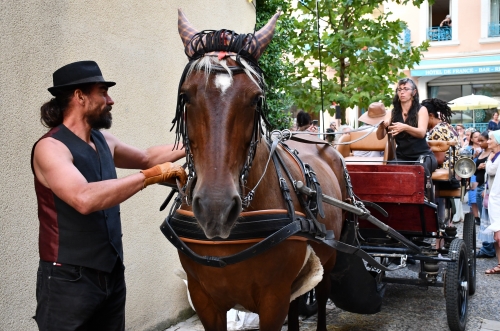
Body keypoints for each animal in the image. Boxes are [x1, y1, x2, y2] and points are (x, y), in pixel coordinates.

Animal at [163, 9, 348, 330]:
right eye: (185, 96)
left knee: (323, 294)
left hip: (329, 256)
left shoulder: (273, 299)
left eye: (256, 98)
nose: (215, 209)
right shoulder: (204, 298)